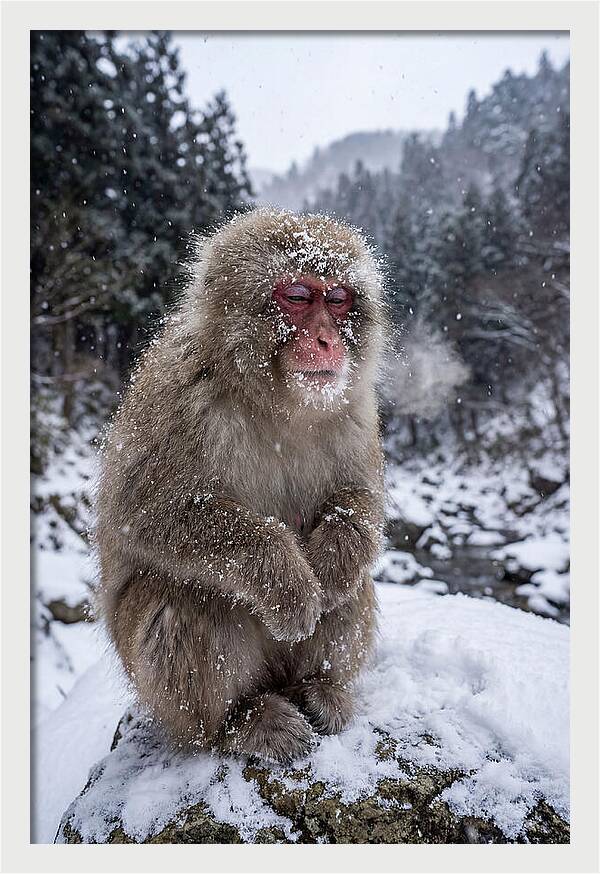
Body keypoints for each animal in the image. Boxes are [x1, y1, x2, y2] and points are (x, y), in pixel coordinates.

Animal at [95, 208, 387, 763]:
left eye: (338, 299)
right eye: (297, 295)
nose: (327, 339)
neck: (276, 402)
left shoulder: (357, 409)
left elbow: (360, 498)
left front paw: (333, 559)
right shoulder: (178, 395)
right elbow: (145, 512)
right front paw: (288, 581)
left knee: (354, 587)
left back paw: (319, 688)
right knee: (183, 597)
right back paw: (238, 722)